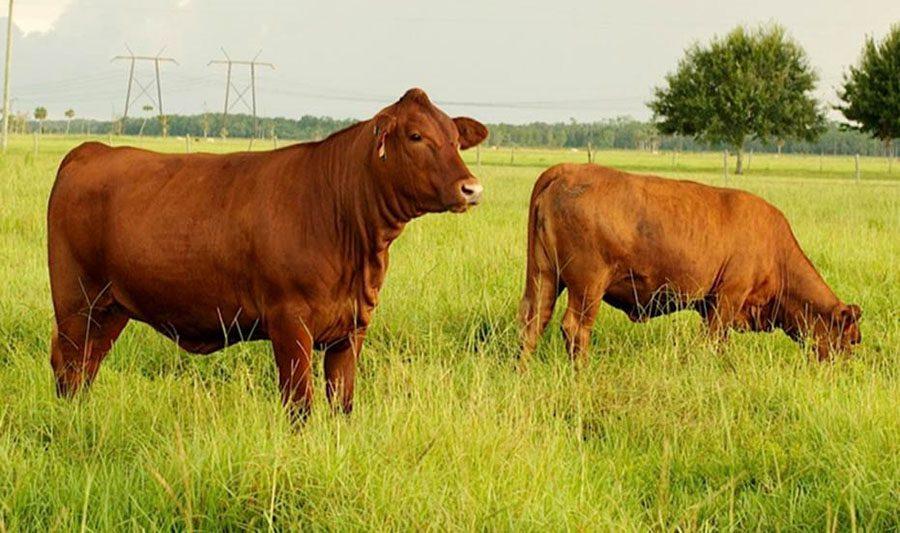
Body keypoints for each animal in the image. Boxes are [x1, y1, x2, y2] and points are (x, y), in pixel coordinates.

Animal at [46, 87, 488, 416]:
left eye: (455, 139)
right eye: (416, 136)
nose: (471, 188)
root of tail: (92, 150)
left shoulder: (353, 327)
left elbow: (342, 404)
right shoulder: (289, 322)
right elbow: (299, 405)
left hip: (112, 308)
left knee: (87, 366)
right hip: (75, 301)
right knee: (68, 364)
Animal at [520, 163, 864, 366]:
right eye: (851, 338)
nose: (844, 369)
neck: (777, 253)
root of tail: (568, 170)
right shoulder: (727, 299)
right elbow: (715, 340)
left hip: (544, 276)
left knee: (533, 320)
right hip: (587, 287)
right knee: (575, 328)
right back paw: (582, 372)